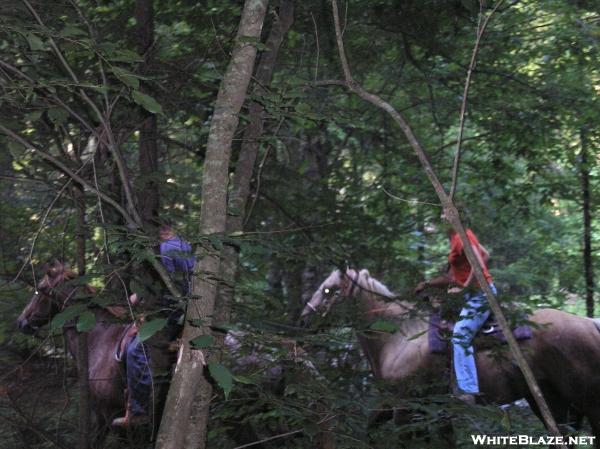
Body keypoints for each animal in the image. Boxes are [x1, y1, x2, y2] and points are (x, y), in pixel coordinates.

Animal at [300, 266, 600, 444]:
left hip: (585, 399)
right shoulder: (409, 405)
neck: (400, 338)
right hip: (551, 399)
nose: (303, 320)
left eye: (328, 290)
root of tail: (589, 323)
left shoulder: (406, 407)